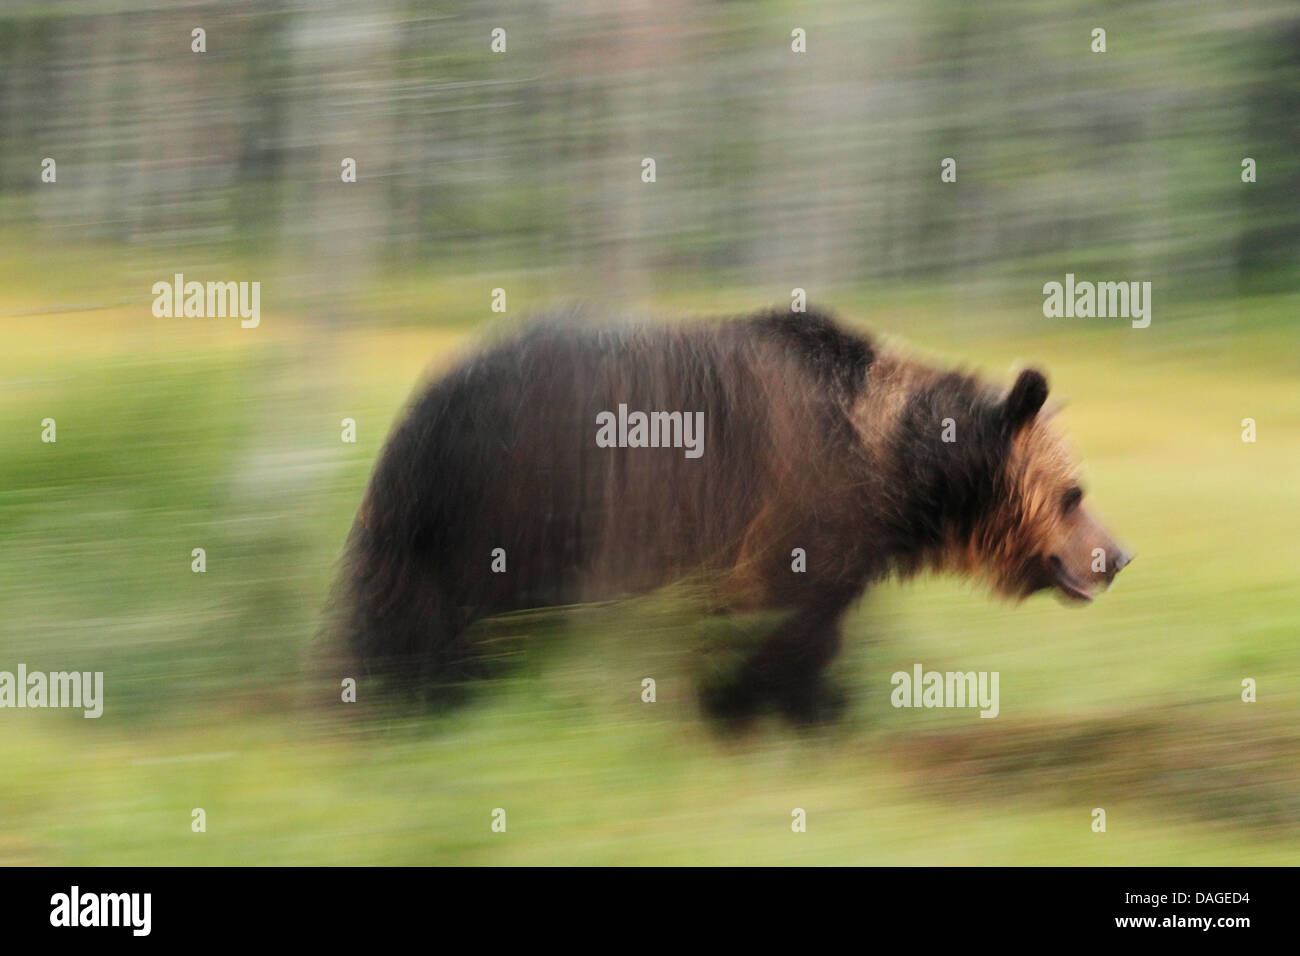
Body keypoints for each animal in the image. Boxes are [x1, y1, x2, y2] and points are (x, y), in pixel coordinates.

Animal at [340, 310, 1133, 723]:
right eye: (1075, 493)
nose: (1117, 556)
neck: (892, 470)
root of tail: (432, 401)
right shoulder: (795, 516)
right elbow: (781, 633)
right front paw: (787, 710)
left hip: (426, 520)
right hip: (522, 502)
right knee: (459, 617)